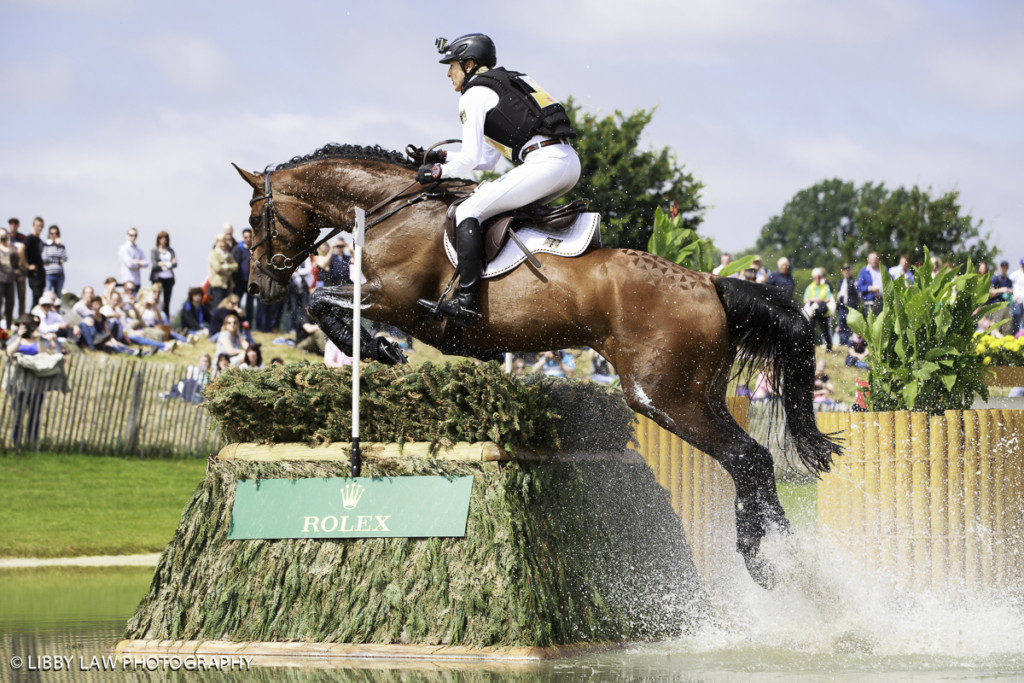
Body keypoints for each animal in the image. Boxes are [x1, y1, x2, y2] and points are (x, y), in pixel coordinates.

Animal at [235, 143, 843, 589]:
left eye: (255, 218)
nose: (259, 286)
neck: (392, 209)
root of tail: (712, 284)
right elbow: (324, 303)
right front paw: (377, 349)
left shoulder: (396, 300)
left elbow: (322, 303)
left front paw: (379, 348)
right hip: (700, 393)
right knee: (757, 460)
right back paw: (793, 561)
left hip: (663, 397)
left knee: (746, 457)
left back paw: (762, 561)